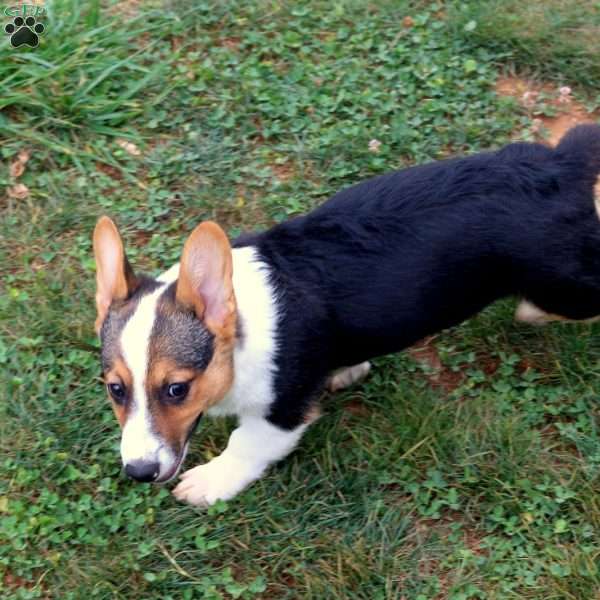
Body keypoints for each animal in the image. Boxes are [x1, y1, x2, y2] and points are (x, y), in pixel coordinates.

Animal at [92, 125, 600, 506]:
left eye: (177, 389)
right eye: (116, 389)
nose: (139, 472)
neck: (241, 330)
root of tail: (561, 163)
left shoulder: (282, 413)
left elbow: (245, 444)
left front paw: (210, 481)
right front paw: (349, 368)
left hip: (561, 287)